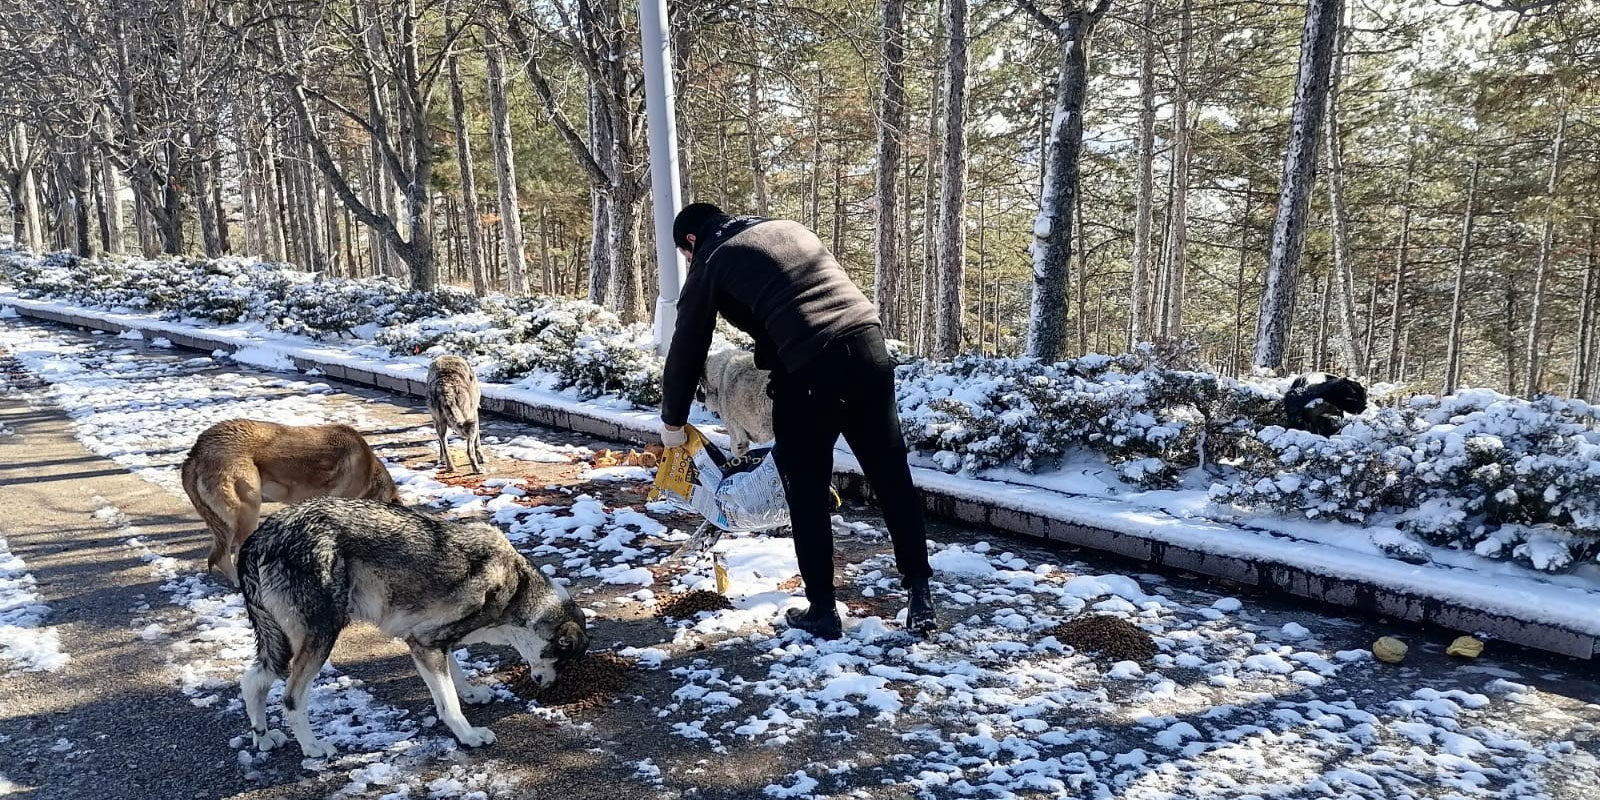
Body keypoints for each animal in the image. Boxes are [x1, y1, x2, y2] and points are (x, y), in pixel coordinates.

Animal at [236, 499, 588, 755]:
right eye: (562, 659)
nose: (550, 686)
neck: (518, 586)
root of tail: (260, 537)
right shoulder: (424, 643)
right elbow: (449, 703)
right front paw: (469, 735)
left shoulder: (434, 642)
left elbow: (456, 674)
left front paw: (472, 694)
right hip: (321, 637)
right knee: (291, 698)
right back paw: (312, 747)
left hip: (281, 643)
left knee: (252, 681)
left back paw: (262, 737)